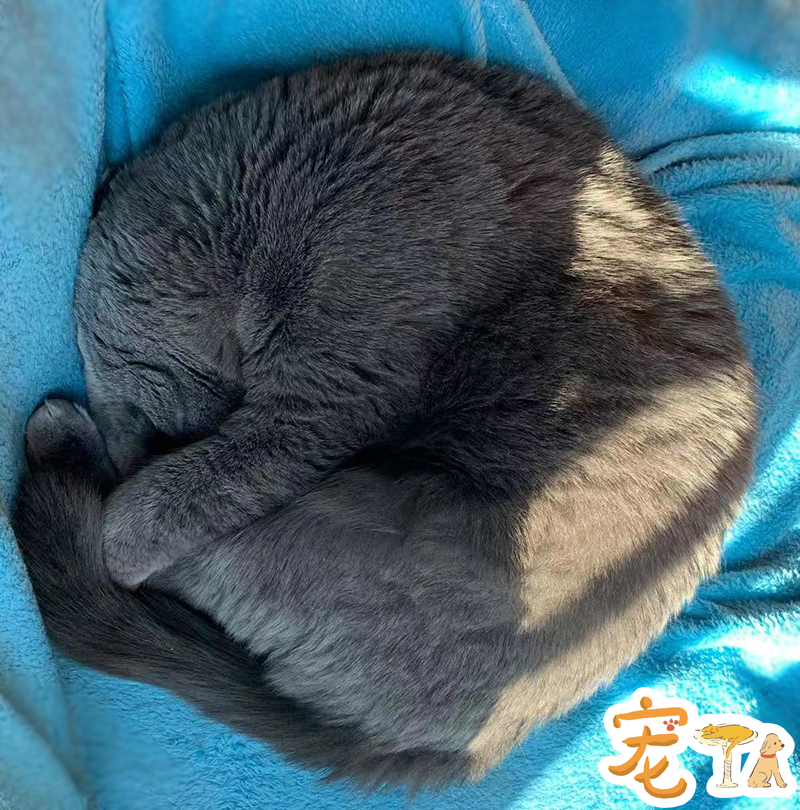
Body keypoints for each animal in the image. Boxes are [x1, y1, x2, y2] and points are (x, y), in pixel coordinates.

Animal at [12, 52, 756, 790]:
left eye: (140, 403)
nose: (165, 439)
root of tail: (466, 751)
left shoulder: (329, 388)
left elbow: (212, 477)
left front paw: (137, 503)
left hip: (345, 527)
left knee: (140, 562)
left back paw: (67, 451)